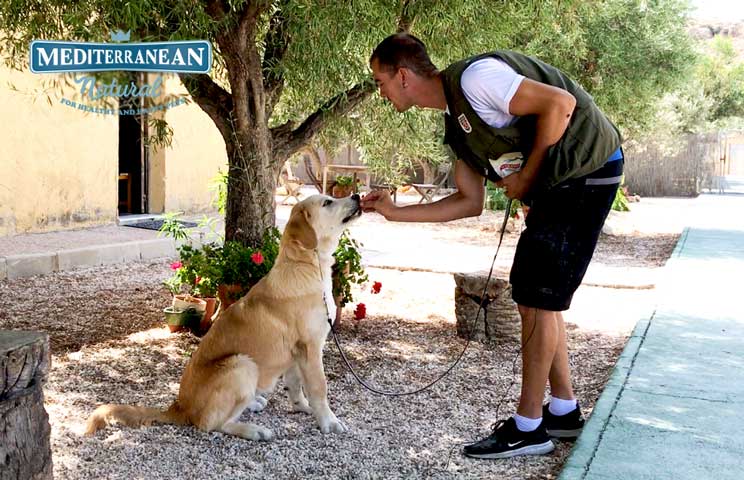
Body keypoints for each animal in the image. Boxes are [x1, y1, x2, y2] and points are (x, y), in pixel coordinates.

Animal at [85, 193, 364, 440]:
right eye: (327, 202)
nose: (357, 195)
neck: (307, 267)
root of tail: (179, 407)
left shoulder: (297, 352)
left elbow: (296, 386)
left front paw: (303, 408)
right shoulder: (310, 346)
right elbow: (319, 387)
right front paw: (328, 422)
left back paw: (254, 403)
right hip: (242, 364)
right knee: (211, 424)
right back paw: (253, 430)